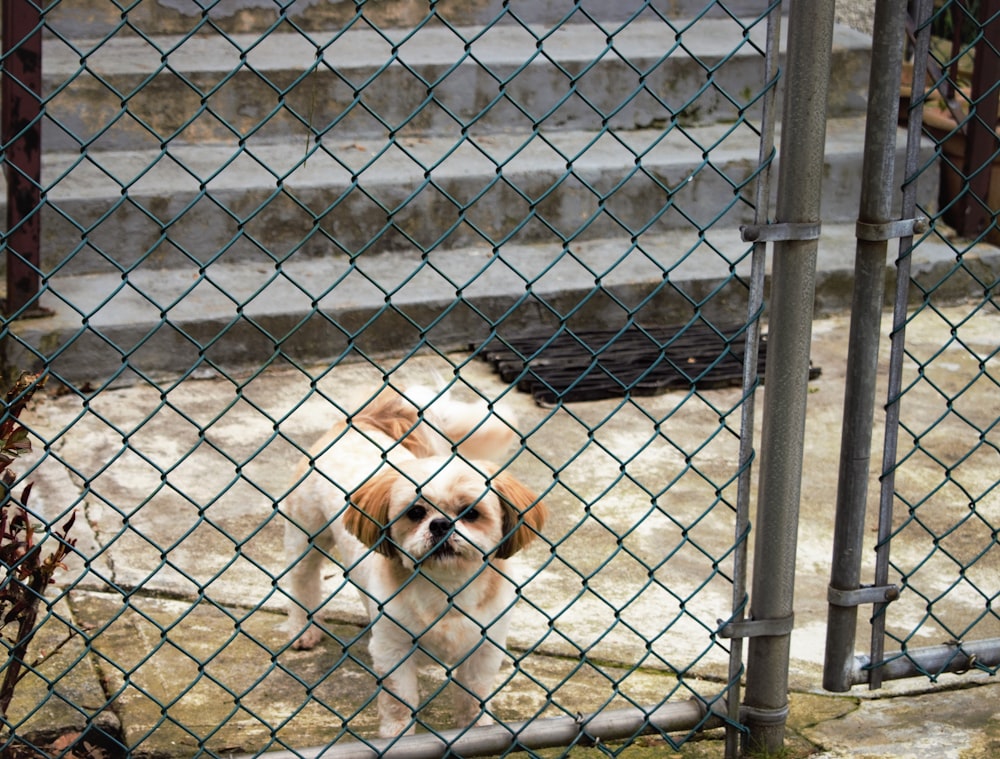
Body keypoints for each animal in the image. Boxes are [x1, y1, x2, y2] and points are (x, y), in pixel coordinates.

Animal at [282, 386, 548, 736]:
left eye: (470, 513)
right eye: (416, 512)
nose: (441, 524)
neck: (444, 588)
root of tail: (361, 422)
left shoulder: (484, 648)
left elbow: (473, 696)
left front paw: (476, 728)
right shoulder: (393, 651)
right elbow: (399, 701)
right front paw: (397, 735)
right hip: (306, 535)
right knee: (303, 580)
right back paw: (304, 629)